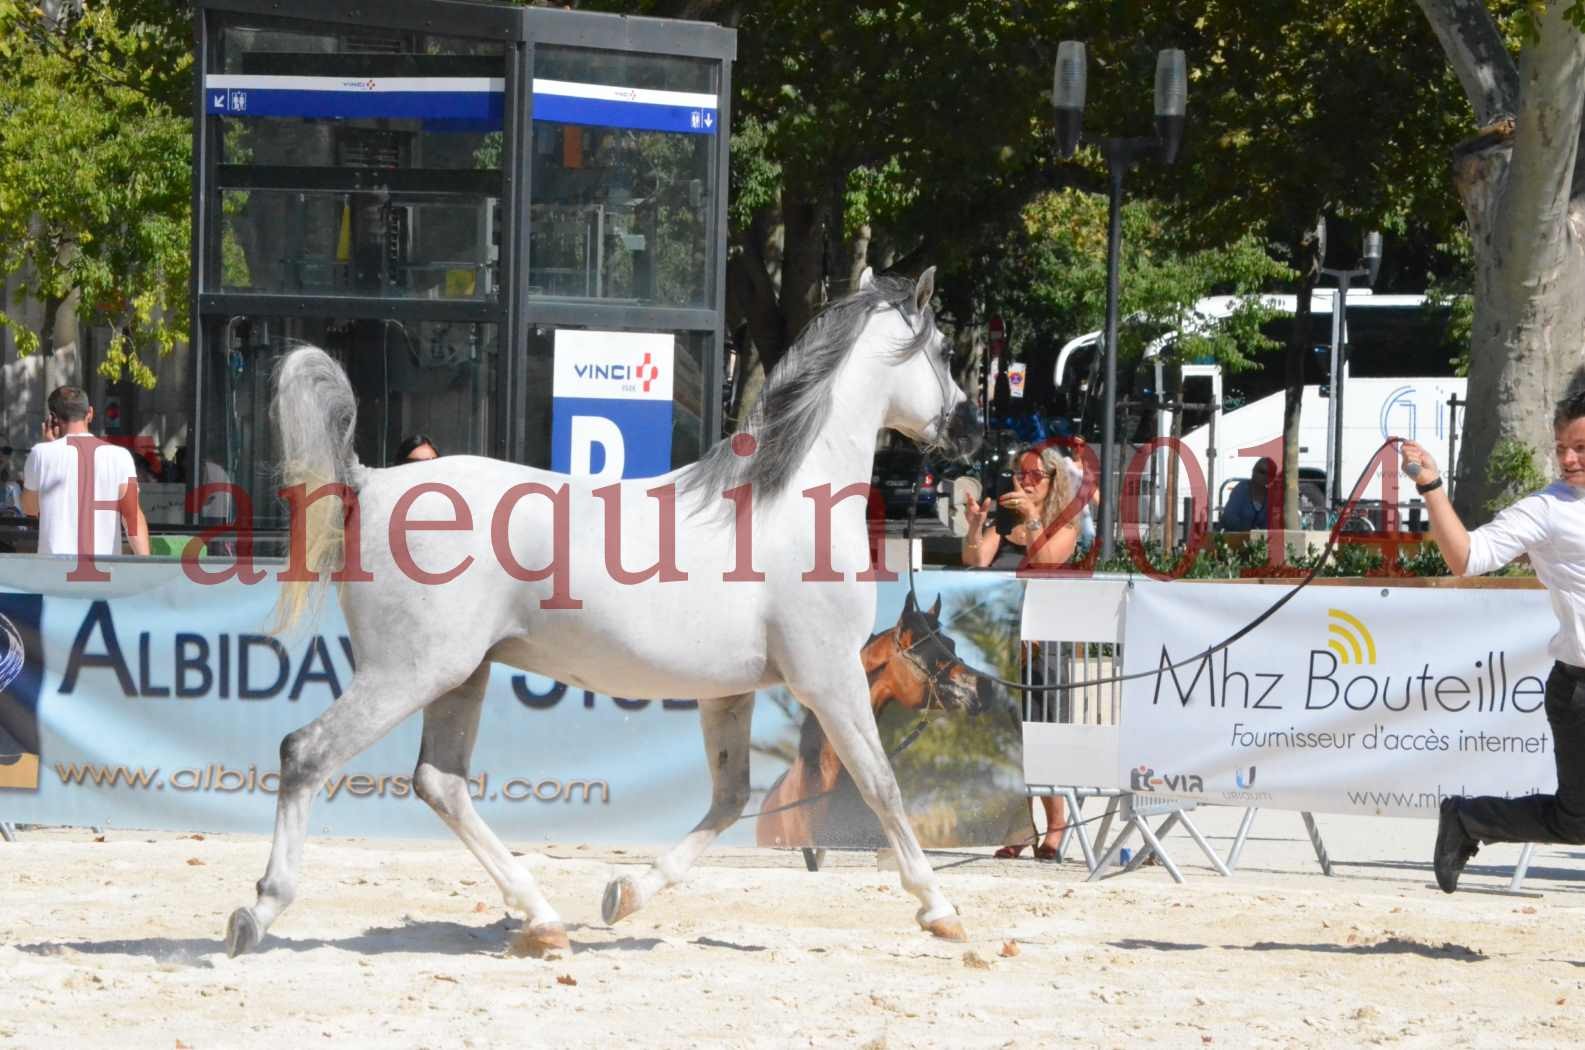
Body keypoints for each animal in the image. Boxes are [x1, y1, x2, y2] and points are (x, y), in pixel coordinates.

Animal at [226, 268, 976, 958]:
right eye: (943, 349)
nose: (971, 431)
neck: (787, 504)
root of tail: (371, 481)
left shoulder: (729, 692)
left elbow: (729, 798)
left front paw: (626, 894)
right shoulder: (828, 677)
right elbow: (881, 786)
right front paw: (939, 910)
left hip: (460, 676)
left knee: (441, 783)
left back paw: (543, 920)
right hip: (407, 673)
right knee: (307, 753)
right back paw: (257, 913)